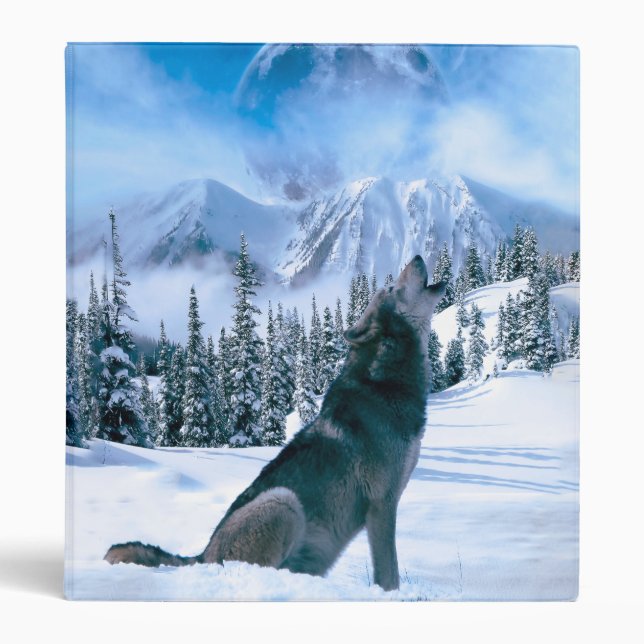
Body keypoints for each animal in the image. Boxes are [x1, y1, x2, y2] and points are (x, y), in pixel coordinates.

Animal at [105, 255, 445, 591]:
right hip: (283, 502)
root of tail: (202, 556)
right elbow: (390, 576)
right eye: (391, 287)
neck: (385, 382)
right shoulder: (381, 505)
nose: (417, 256)